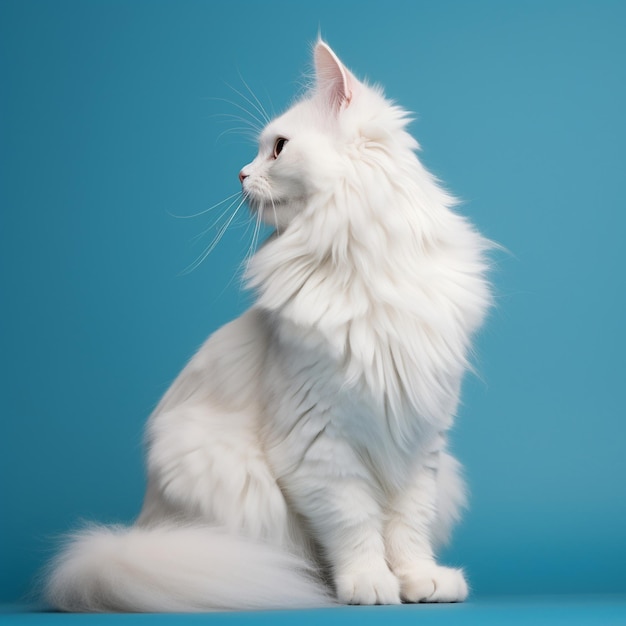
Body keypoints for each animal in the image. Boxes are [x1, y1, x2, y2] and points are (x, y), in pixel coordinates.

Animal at [45, 40, 492, 608]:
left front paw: (419, 578)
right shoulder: (319, 445)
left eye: (277, 148)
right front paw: (369, 582)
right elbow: (355, 523)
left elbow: (408, 521)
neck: (362, 265)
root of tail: (141, 532)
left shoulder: (419, 441)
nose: (238, 174)